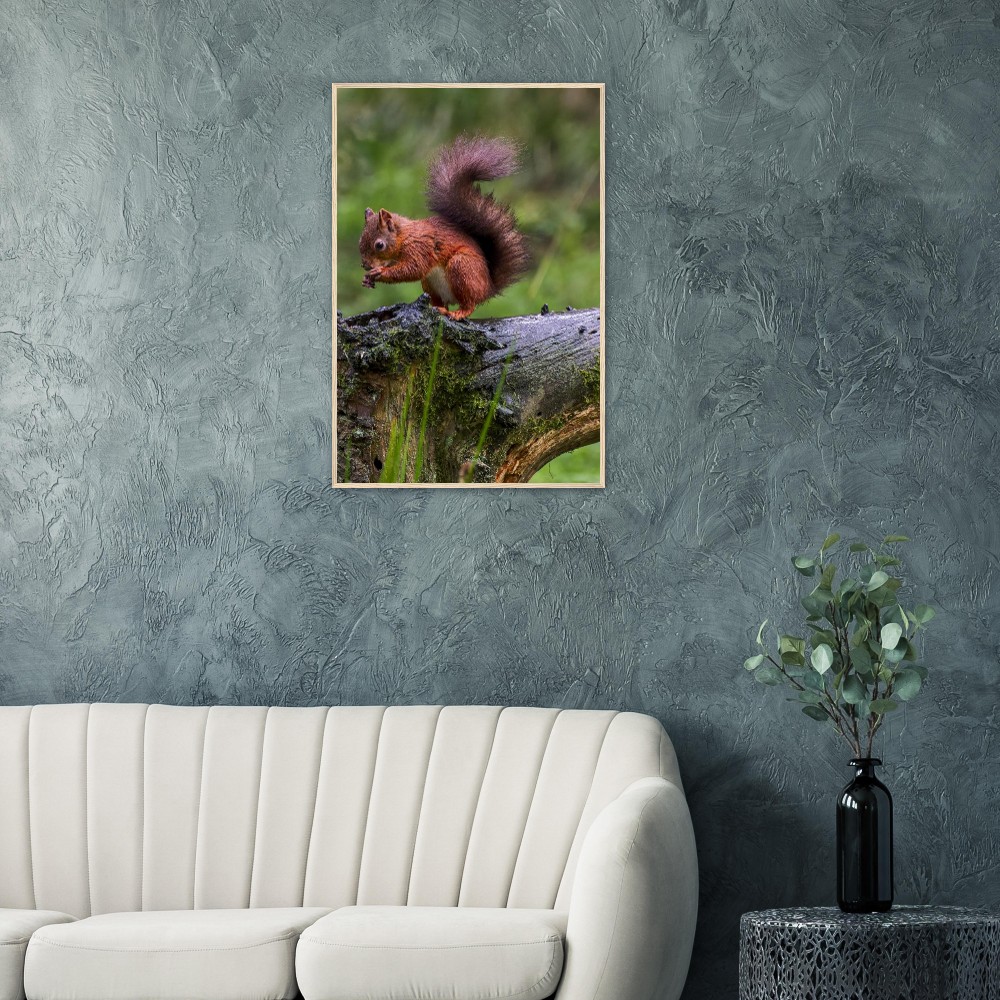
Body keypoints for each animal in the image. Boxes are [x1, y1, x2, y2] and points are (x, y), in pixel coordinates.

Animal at [358, 135, 531, 320]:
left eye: (379, 245)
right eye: (360, 241)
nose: (365, 265)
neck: (404, 236)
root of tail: (488, 288)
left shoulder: (420, 247)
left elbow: (413, 268)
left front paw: (379, 272)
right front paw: (367, 279)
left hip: (462, 268)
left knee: (469, 303)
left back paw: (458, 312)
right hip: (430, 283)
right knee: (440, 301)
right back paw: (437, 307)